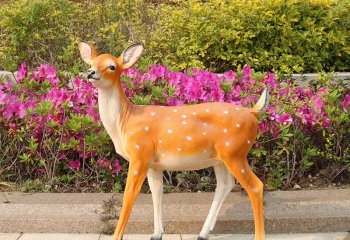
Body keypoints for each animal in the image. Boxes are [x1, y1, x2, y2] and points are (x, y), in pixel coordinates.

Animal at [78, 42, 266, 239]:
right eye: (91, 62)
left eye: (112, 66)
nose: (90, 72)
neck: (125, 122)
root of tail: (252, 112)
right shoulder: (154, 164)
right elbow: (157, 193)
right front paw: (157, 233)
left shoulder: (139, 154)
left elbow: (130, 194)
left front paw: (118, 236)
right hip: (221, 158)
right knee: (225, 184)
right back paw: (203, 233)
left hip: (235, 152)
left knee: (256, 186)